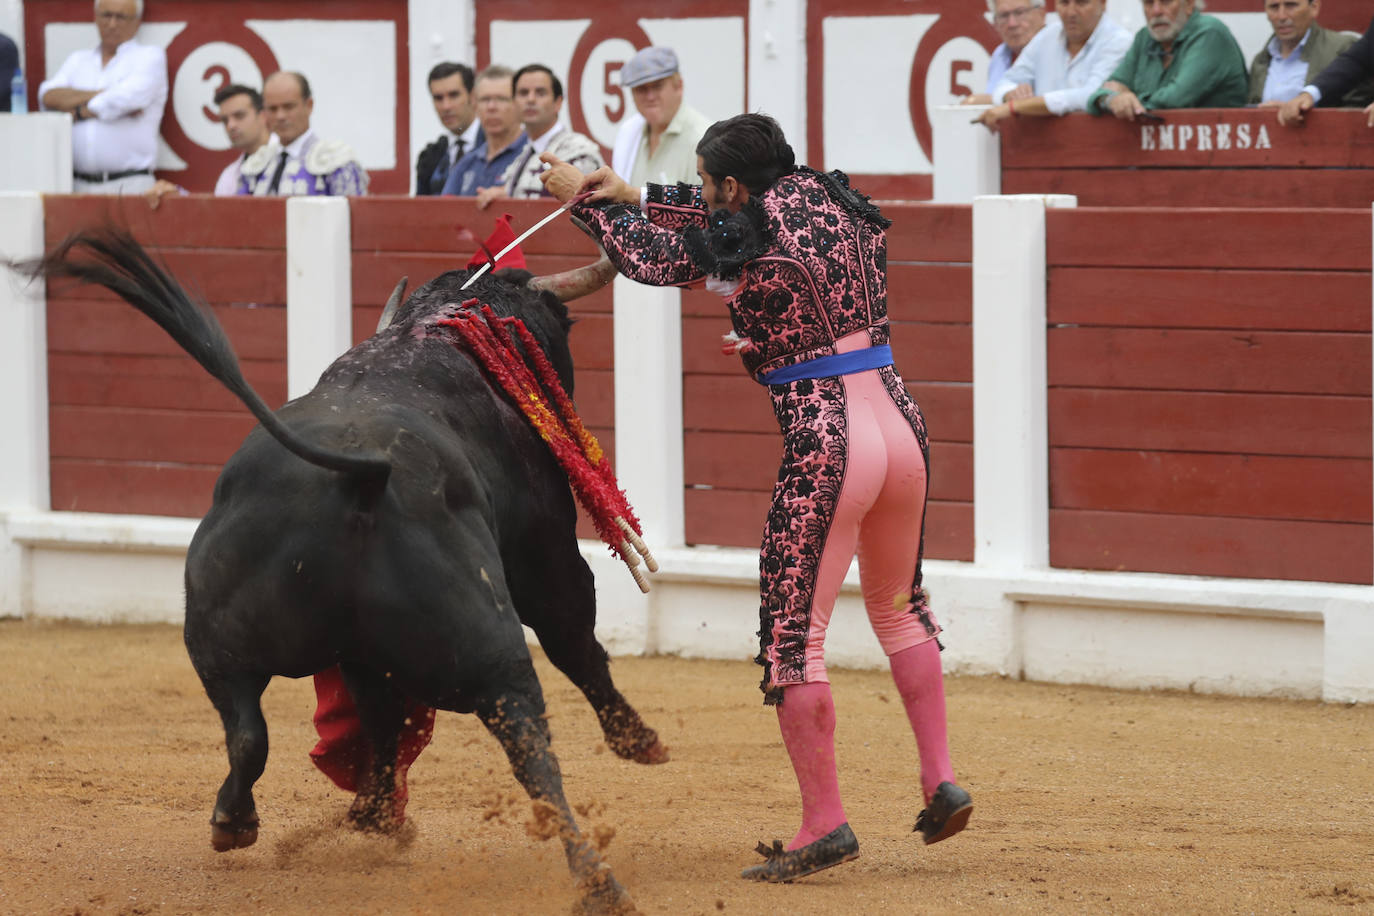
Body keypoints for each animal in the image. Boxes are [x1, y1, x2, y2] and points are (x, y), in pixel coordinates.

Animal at [34, 229, 667, 916]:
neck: (431, 332)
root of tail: (363, 473)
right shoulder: (546, 552)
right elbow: (577, 641)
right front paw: (639, 741)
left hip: (218, 633)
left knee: (255, 729)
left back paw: (277, 820)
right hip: (477, 641)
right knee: (522, 739)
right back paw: (586, 877)